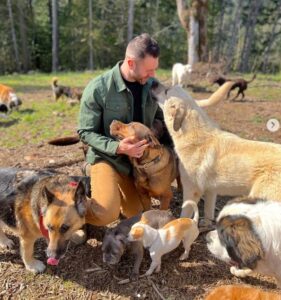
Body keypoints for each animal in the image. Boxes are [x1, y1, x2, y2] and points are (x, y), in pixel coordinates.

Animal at [152, 81, 281, 224]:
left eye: (166, 91)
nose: (153, 82)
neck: (195, 135)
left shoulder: (191, 191)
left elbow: (184, 214)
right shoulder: (211, 191)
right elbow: (209, 214)